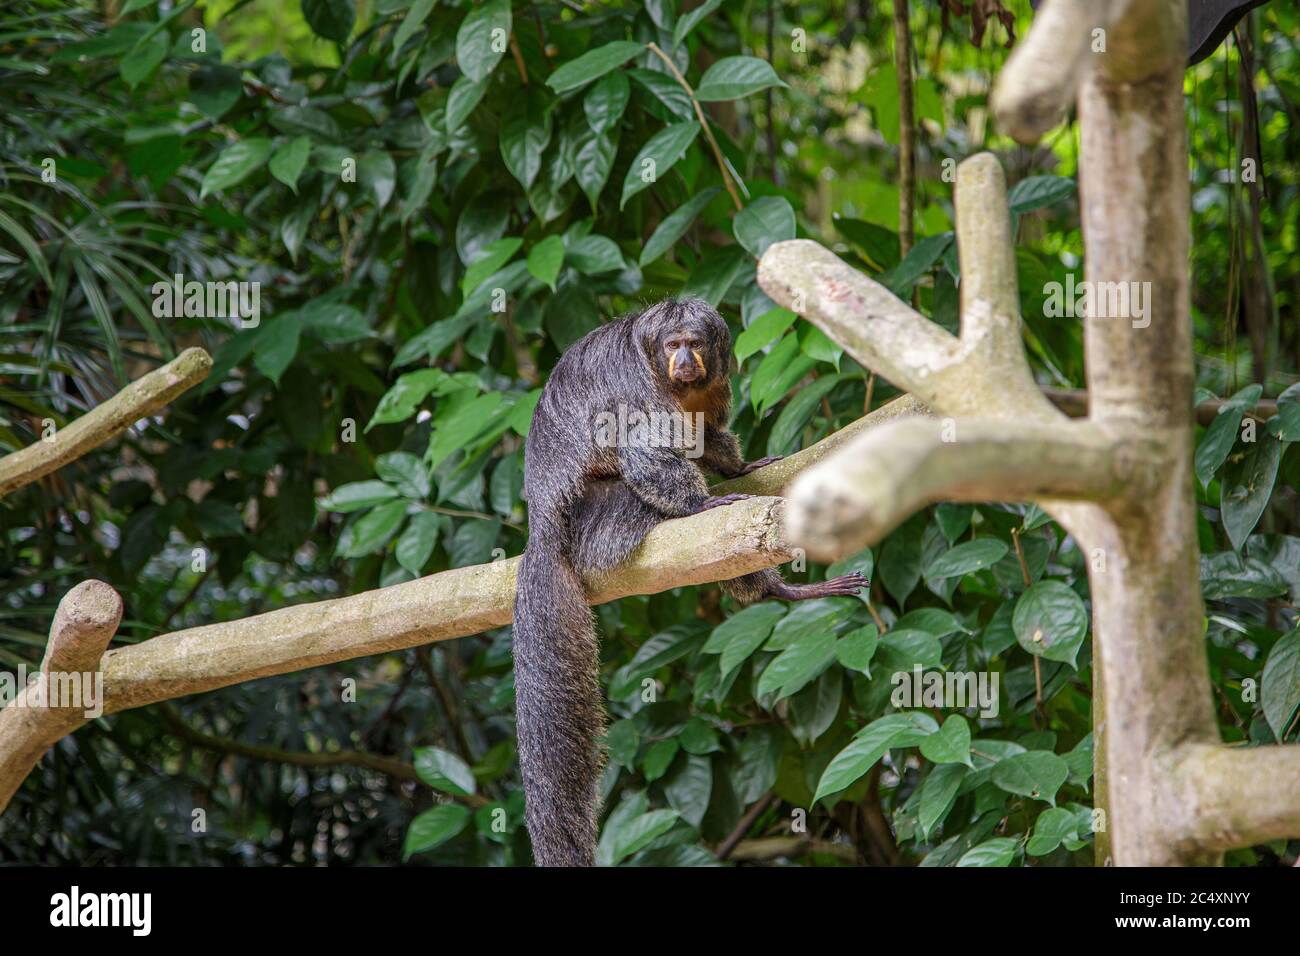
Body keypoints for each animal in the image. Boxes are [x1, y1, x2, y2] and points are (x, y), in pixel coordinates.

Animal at [512, 293, 868, 868]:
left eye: (694, 344)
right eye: (672, 345)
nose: (682, 360)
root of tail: (542, 524)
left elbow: (706, 437)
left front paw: (739, 465)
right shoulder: (637, 385)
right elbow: (645, 452)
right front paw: (701, 501)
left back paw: (778, 590)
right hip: (599, 519)